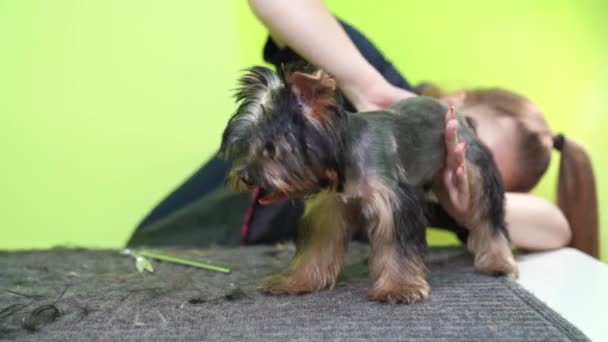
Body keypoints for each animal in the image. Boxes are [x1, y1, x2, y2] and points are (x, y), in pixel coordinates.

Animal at [220, 65, 516, 304]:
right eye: (245, 144)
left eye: (272, 148)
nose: (245, 176)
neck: (346, 158)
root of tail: (457, 114)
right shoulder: (330, 209)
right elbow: (316, 248)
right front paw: (295, 281)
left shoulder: (393, 202)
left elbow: (397, 246)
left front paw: (399, 287)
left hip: (473, 169)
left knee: (488, 218)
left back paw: (497, 261)